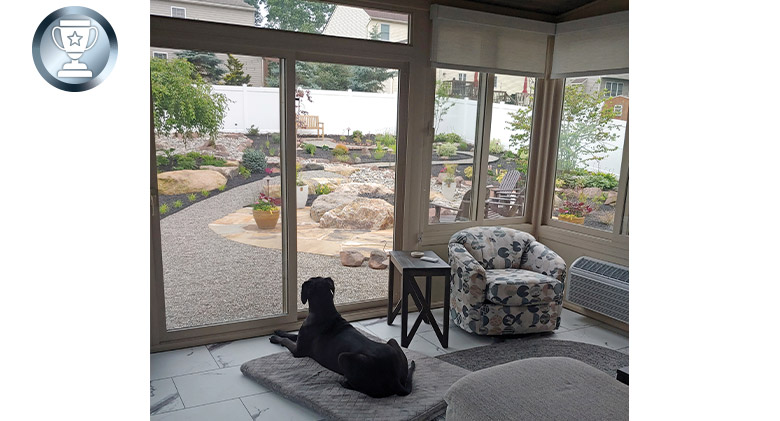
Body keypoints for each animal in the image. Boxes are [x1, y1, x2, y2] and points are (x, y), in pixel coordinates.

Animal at [270, 276, 414, 398]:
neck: (324, 310)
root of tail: (395, 379)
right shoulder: (301, 337)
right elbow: (292, 335)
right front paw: (279, 331)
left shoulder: (298, 351)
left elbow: (287, 340)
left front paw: (275, 338)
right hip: (392, 342)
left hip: (344, 357)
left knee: (368, 391)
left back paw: (343, 382)